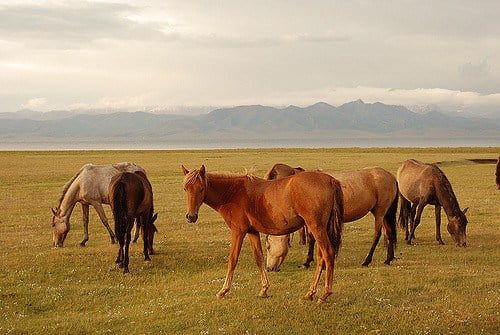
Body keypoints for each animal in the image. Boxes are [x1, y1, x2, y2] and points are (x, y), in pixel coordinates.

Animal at [183, 166, 344, 304]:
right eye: (185, 188)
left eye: (201, 188)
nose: (191, 216)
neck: (233, 193)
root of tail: (330, 180)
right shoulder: (252, 232)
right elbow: (259, 258)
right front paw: (264, 289)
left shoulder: (238, 232)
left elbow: (232, 259)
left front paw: (223, 290)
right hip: (321, 229)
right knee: (321, 257)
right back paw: (310, 293)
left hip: (316, 228)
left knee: (328, 253)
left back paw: (324, 294)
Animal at [264, 164, 396, 272]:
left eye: (268, 246)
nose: (269, 268)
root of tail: (390, 176)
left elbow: (312, 239)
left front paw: (308, 262)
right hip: (383, 214)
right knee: (389, 233)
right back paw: (388, 259)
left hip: (379, 213)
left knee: (377, 235)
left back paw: (367, 261)